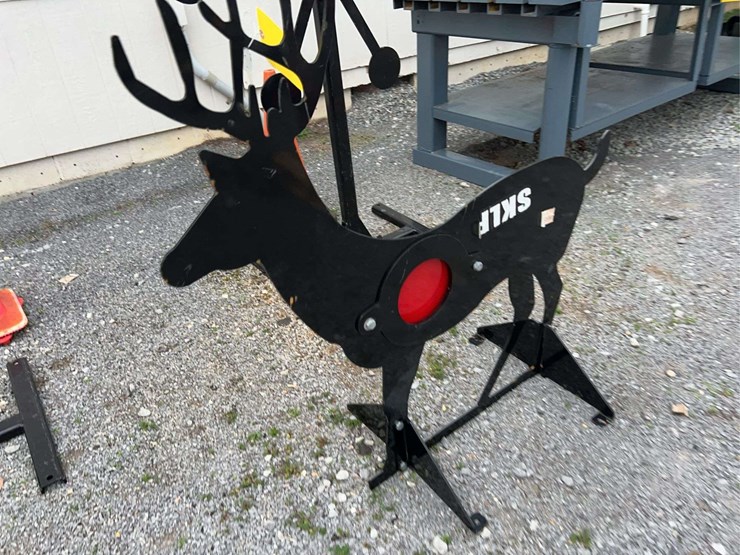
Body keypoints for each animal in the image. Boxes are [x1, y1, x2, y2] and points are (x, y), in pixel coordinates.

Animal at [112, 0, 614, 533]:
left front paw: (427, 486)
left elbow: (398, 411)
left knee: (551, 295)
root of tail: (579, 170)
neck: (347, 271)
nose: (172, 266)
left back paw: (540, 371)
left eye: (234, 199)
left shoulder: (405, 345)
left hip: (547, 250)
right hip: (520, 259)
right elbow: (389, 413)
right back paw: (504, 364)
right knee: (527, 304)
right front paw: (388, 458)